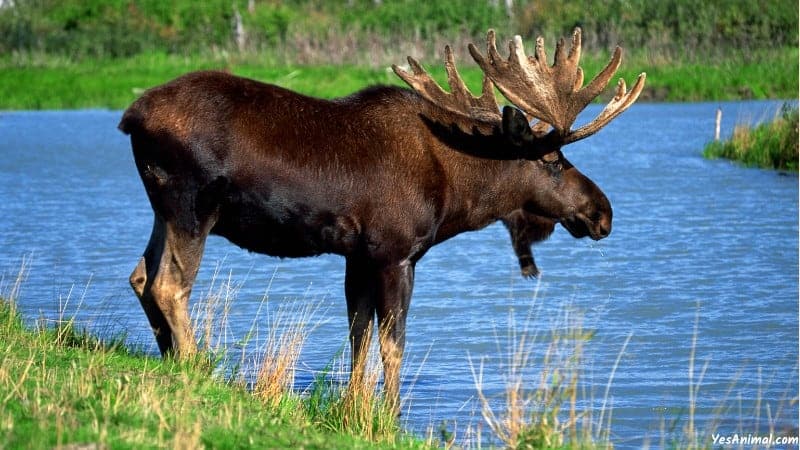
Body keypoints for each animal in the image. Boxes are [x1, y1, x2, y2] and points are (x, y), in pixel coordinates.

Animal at [119, 28, 644, 414]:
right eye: (553, 160)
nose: (603, 212)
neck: (458, 192)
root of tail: (130, 116)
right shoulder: (396, 253)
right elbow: (394, 343)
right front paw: (390, 414)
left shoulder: (358, 255)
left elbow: (358, 335)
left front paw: (353, 408)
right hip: (192, 205)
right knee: (169, 284)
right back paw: (195, 367)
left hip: (162, 208)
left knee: (141, 275)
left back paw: (170, 361)